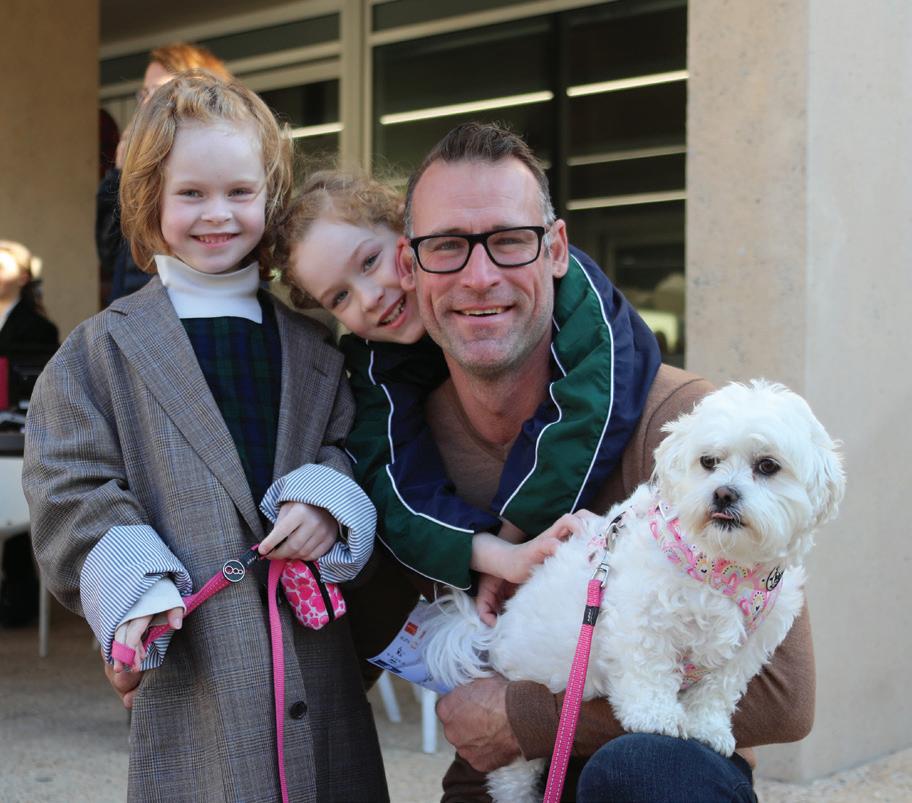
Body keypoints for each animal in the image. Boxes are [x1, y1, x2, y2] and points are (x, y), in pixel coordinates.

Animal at [423, 380, 845, 803]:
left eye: (768, 466)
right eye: (708, 461)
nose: (724, 494)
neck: (723, 566)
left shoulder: (752, 643)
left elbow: (720, 688)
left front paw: (707, 727)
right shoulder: (642, 614)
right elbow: (649, 665)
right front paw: (655, 716)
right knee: (512, 779)